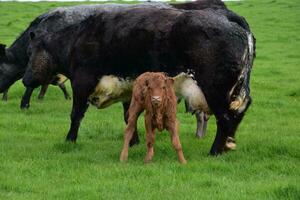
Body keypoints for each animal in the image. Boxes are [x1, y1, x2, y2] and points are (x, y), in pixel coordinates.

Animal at [37, 6, 254, 155]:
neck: (76, 38)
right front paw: (133, 142)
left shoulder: (81, 83)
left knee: (225, 117)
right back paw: (227, 145)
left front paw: (69, 140)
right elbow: (129, 117)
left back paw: (215, 151)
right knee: (238, 113)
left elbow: (76, 115)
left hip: (216, 89)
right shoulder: (127, 89)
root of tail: (226, 16)